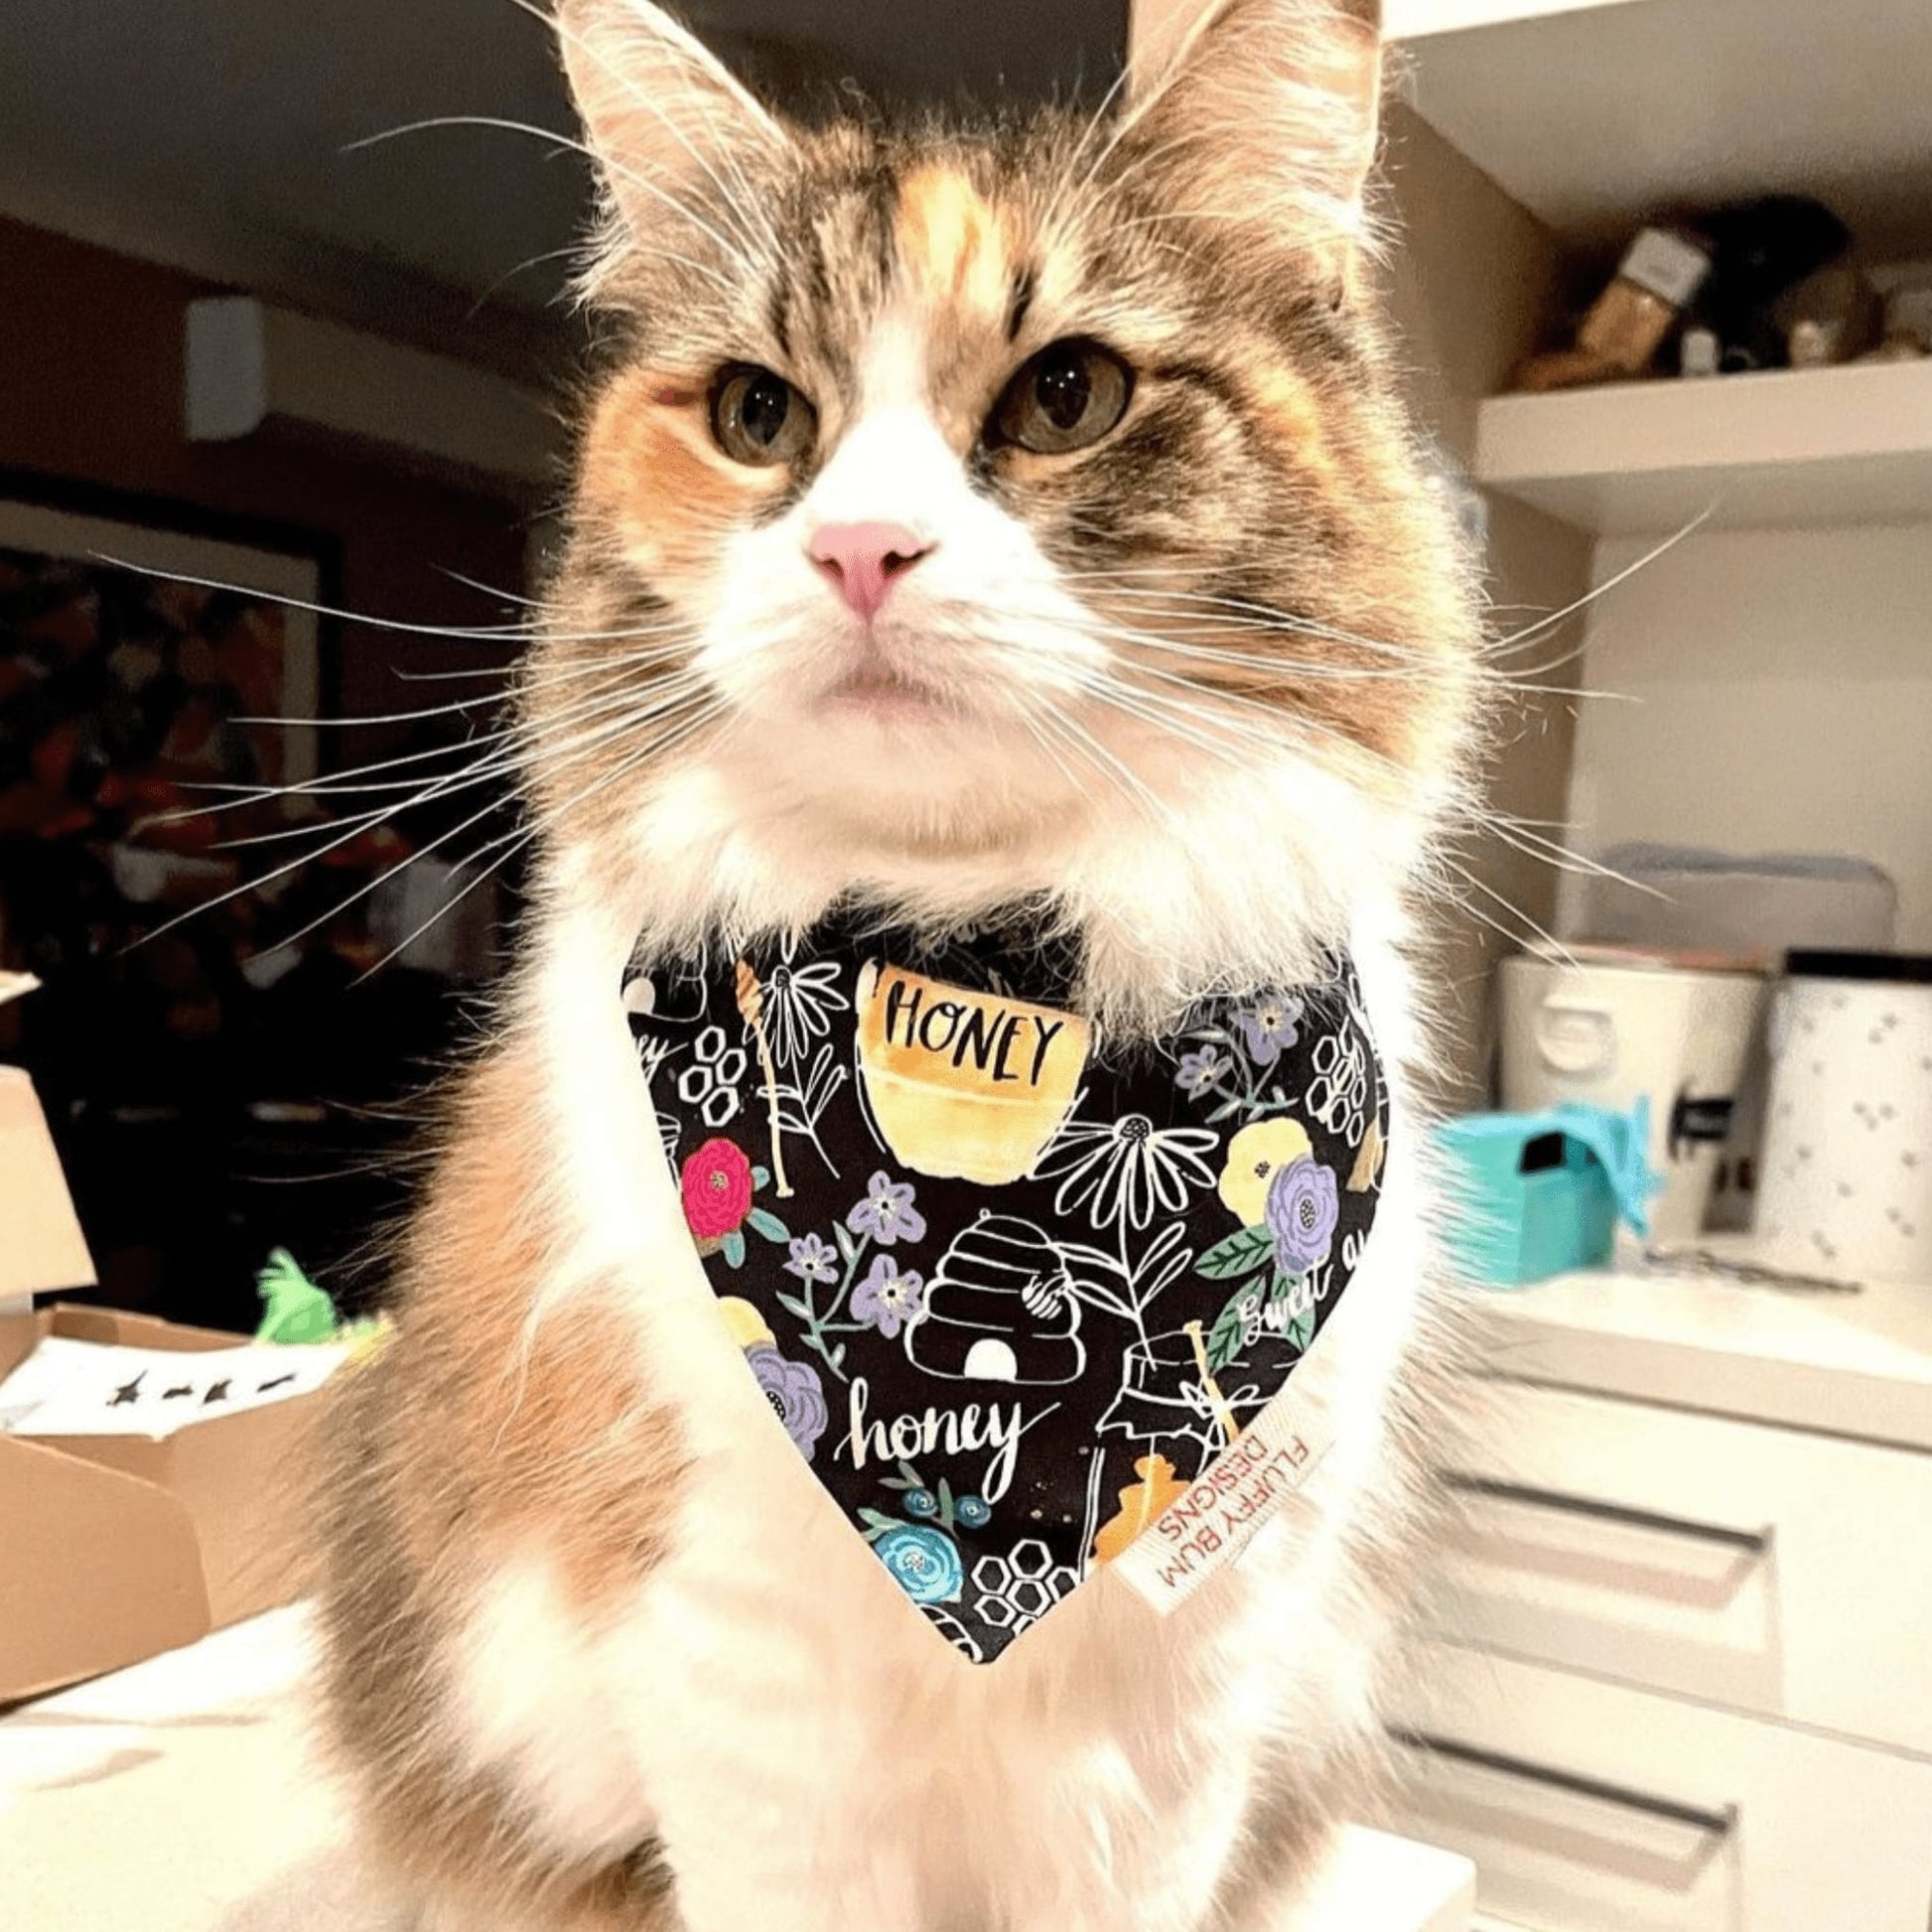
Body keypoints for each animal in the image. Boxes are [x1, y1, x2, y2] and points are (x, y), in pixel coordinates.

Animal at [324, 3, 1483, 1932]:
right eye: (755, 415)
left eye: (1067, 395)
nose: (859, 551)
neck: (984, 990)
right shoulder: (736, 1672)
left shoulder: (1181, 1713)